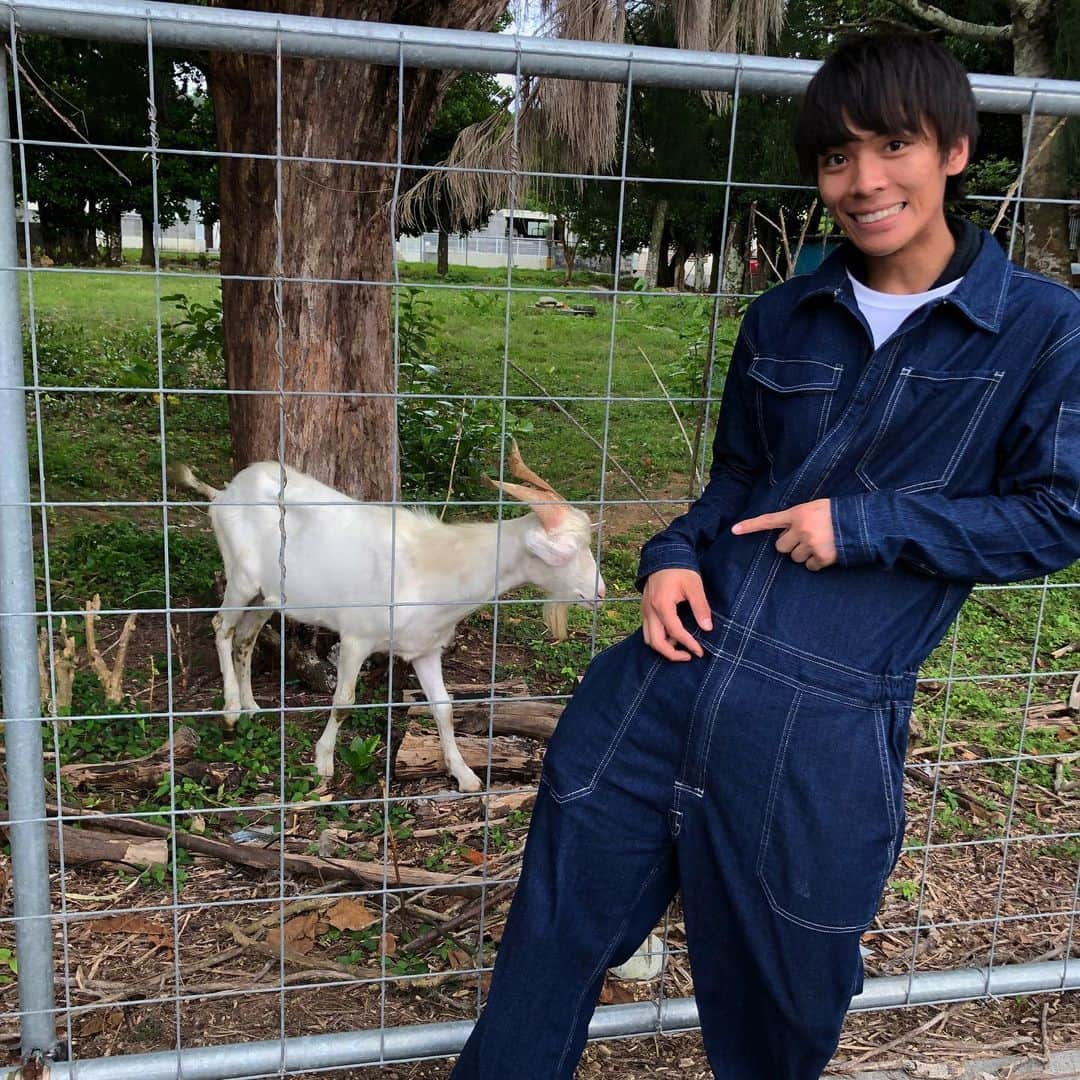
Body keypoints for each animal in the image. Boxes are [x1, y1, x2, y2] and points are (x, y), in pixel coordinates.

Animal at [174, 447, 600, 794]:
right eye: (567, 550)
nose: (599, 591)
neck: (433, 566)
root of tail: (224, 493)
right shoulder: (356, 638)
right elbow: (343, 702)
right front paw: (323, 763)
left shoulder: (425, 649)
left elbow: (443, 706)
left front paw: (464, 774)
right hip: (241, 577)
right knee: (222, 627)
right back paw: (231, 710)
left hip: (269, 595)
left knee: (246, 636)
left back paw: (250, 706)